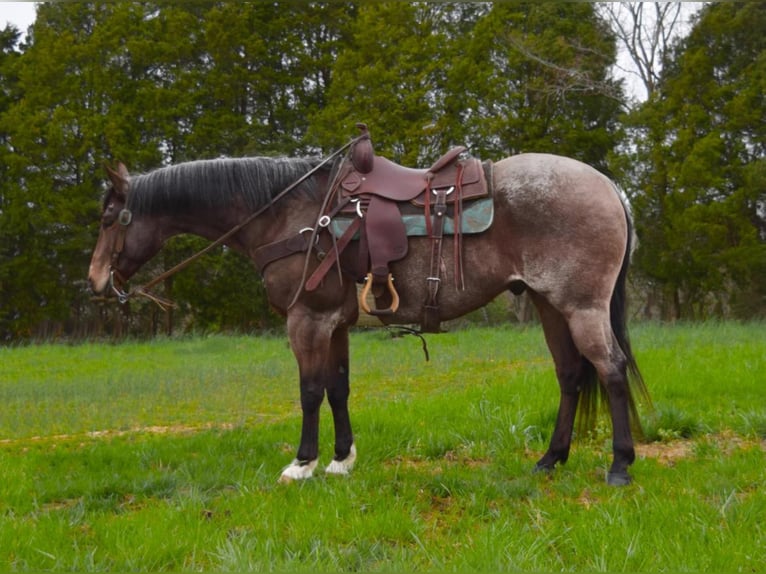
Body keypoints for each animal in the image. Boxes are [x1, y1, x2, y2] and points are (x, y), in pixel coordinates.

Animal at [90, 137, 656, 488]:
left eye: (110, 218)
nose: (95, 282)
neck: (288, 212)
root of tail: (609, 187)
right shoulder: (335, 324)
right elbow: (338, 388)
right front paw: (342, 461)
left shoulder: (306, 320)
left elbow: (310, 391)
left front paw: (302, 464)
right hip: (548, 304)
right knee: (570, 375)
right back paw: (549, 460)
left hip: (581, 306)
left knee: (610, 370)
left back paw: (620, 465)